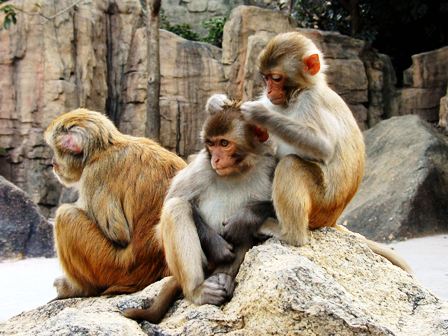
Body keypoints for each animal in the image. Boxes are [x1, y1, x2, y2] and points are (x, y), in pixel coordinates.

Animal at [43, 109, 186, 298]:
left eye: (55, 150)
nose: (52, 163)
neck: (103, 149)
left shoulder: (94, 174)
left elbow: (119, 234)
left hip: (114, 268)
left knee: (65, 216)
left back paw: (79, 288)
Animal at [122, 101, 276, 322]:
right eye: (211, 144)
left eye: (224, 143)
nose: (216, 160)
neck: (238, 170)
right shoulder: (201, 167)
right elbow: (168, 212)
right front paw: (218, 246)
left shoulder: (269, 164)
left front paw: (244, 218)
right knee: (176, 208)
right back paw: (197, 290)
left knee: (246, 231)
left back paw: (223, 277)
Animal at [208, 31, 412, 272]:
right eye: (266, 78)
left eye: (276, 78)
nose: (268, 90)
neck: (296, 95)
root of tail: (332, 220)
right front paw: (217, 102)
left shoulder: (311, 101)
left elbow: (323, 146)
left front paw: (259, 113)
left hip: (321, 205)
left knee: (291, 165)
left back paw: (288, 234)